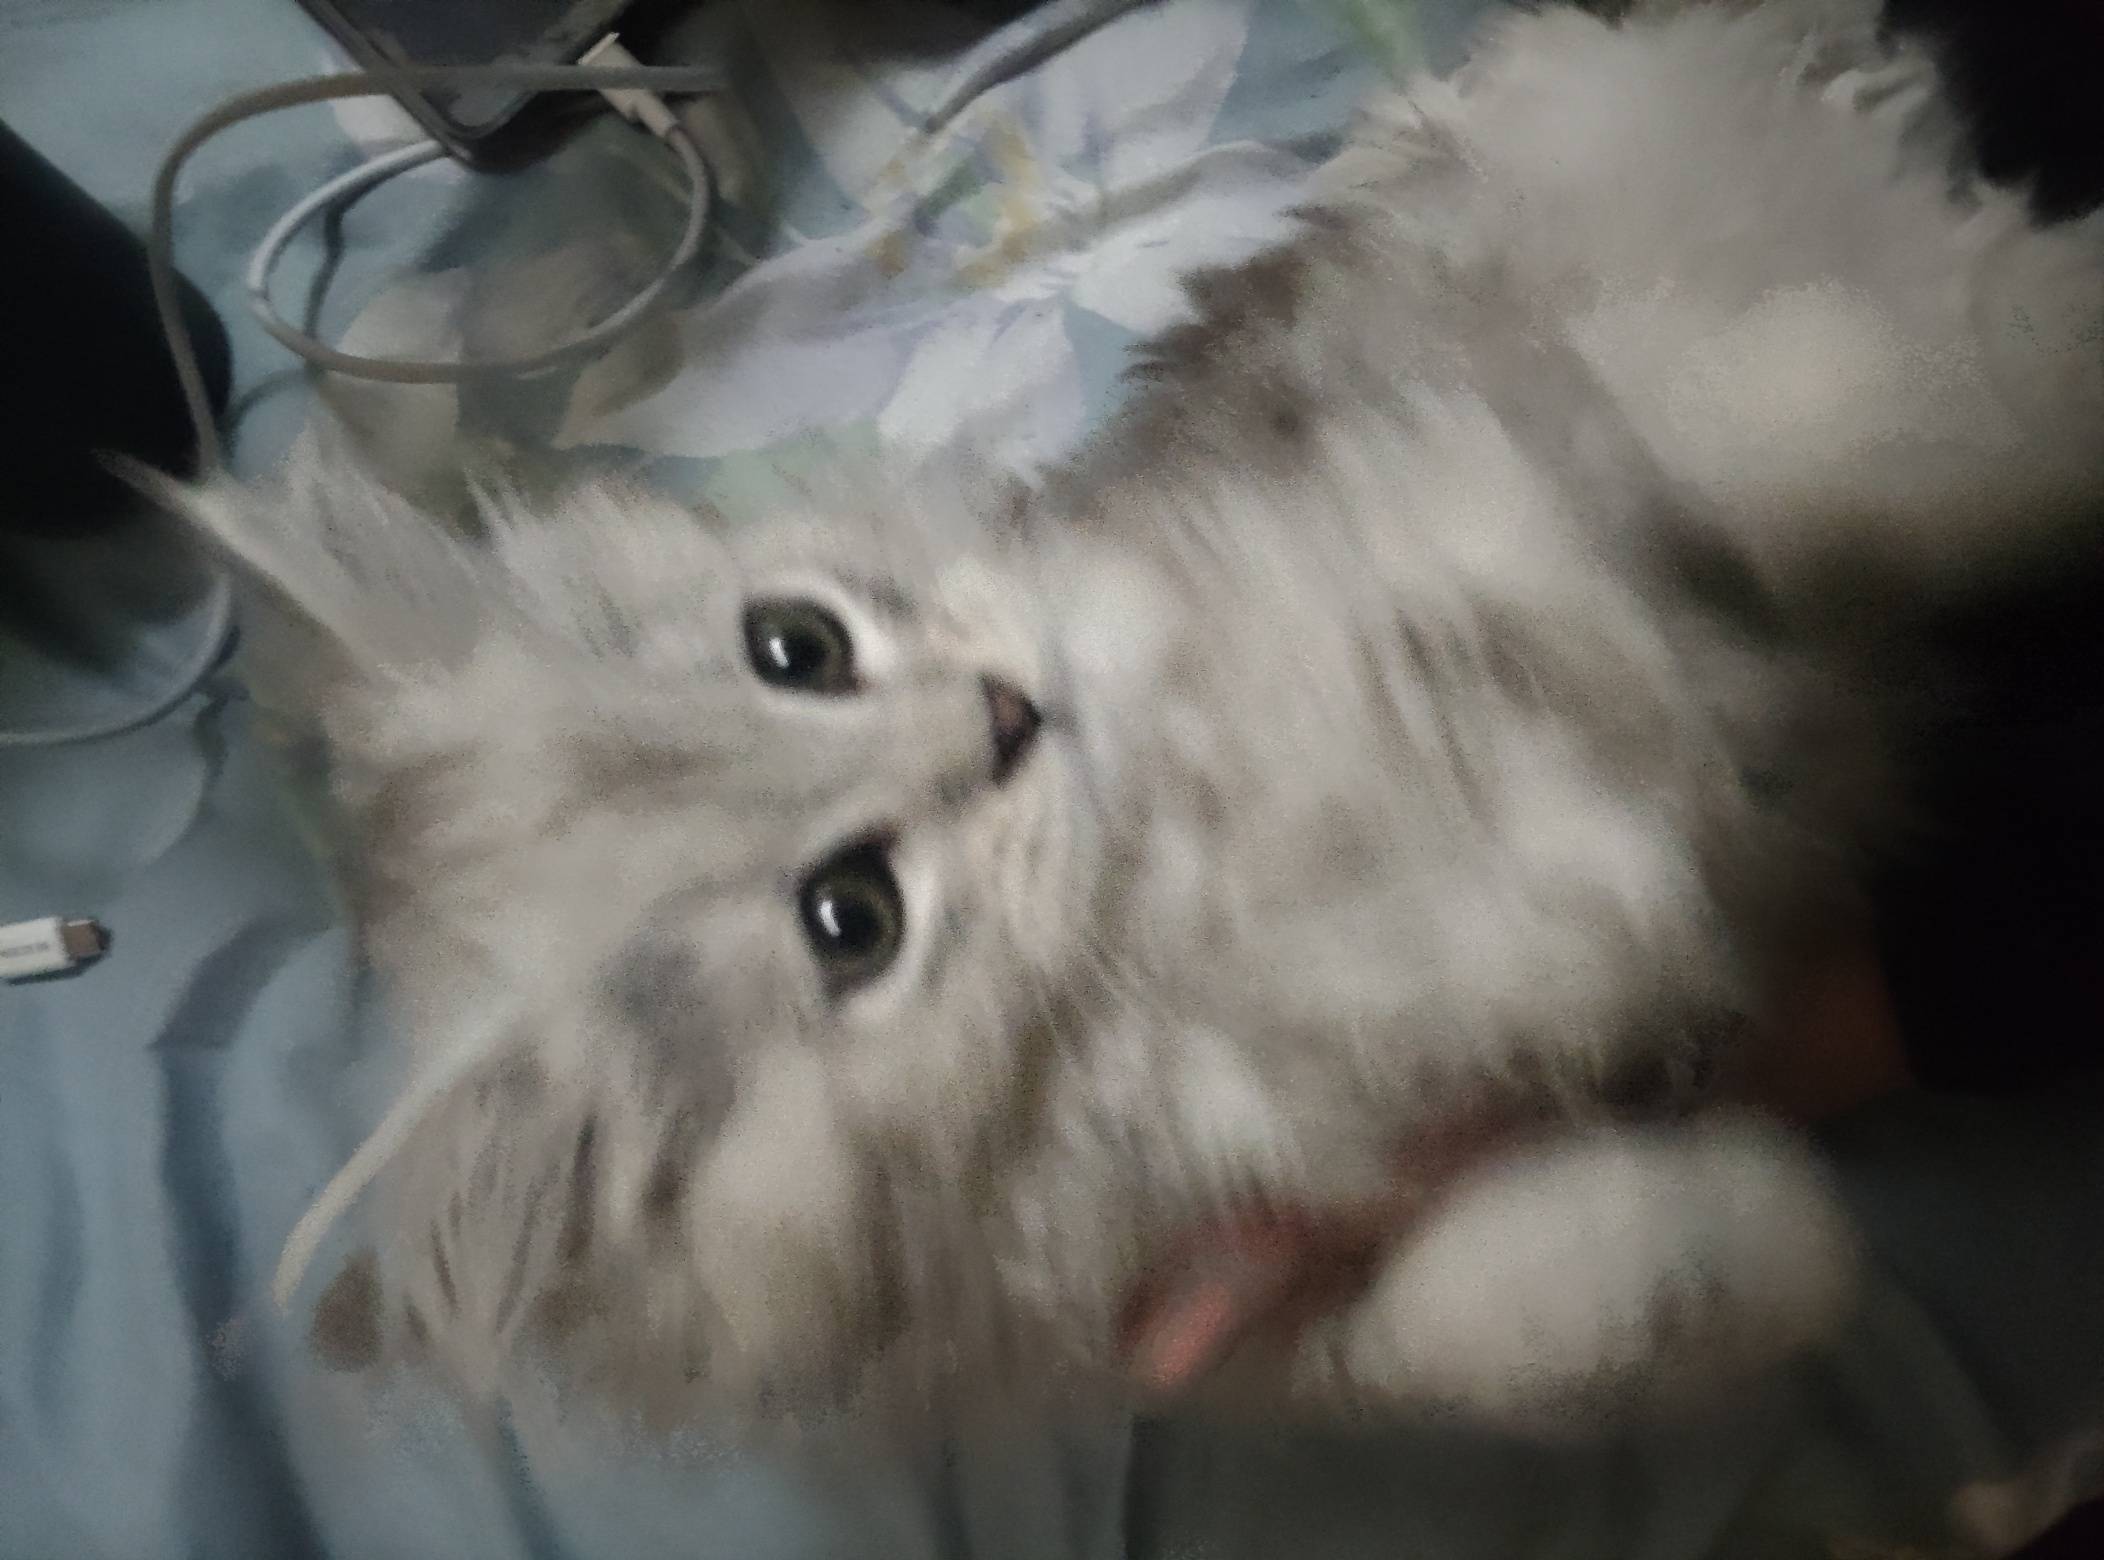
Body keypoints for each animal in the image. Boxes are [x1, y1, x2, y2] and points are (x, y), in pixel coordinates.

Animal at [159, 0, 2104, 1438]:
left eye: (794, 647)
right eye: (848, 918)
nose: (1007, 714)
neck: (1196, 834)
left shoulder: (1557, 454)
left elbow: (1848, 431)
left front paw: (2053, 377)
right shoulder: (1258, 1281)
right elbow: (1488, 1316)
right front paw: (1751, 1260)